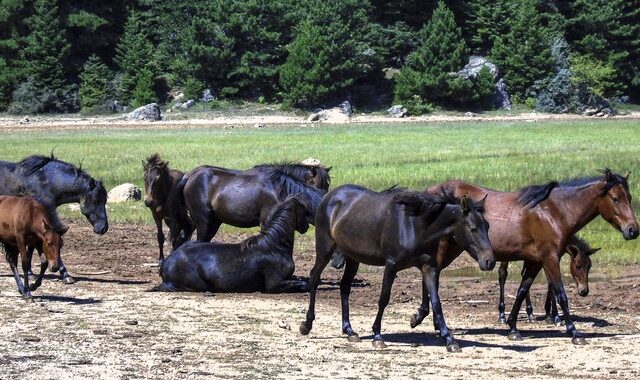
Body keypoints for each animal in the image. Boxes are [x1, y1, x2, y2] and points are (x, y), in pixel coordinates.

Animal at [159, 194, 312, 292]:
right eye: (303, 209)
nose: (306, 227)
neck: (274, 247)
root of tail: (166, 263)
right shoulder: (274, 285)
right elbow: (305, 284)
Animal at [300, 186, 496, 352]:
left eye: (487, 226)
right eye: (472, 228)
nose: (490, 262)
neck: (415, 225)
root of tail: (329, 197)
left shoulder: (429, 267)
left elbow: (436, 302)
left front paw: (449, 339)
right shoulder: (391, 264)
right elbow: (384, 299)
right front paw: (377, 335)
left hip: (353, 258)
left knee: (344, 287)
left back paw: (349, 331)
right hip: (325, 249)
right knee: (314, 278)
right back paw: (307, 325)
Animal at [418, 171, 636, 346]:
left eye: (630, 197)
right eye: (615, 198)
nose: (633, 230)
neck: (554, 212)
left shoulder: (535, 261)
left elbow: (523, 290)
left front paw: (513, 327)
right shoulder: (550, 258)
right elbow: (561, 294)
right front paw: (573, 331)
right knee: (430, 275)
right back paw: (428, 320)